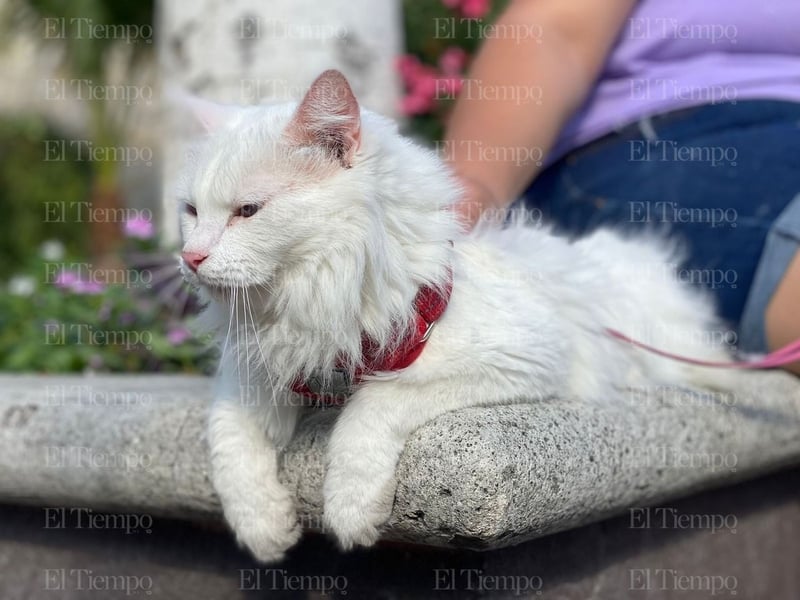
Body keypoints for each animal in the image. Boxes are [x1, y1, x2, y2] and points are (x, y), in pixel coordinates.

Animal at [177, 69, 732, 564]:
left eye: (248, 211)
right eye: (191, 211)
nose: (190, 257)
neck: (318, 295)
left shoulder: (523, 356)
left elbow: (373, 406)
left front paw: (351, 512)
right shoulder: (250, 373)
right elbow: (231, 444)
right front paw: (265, 530)